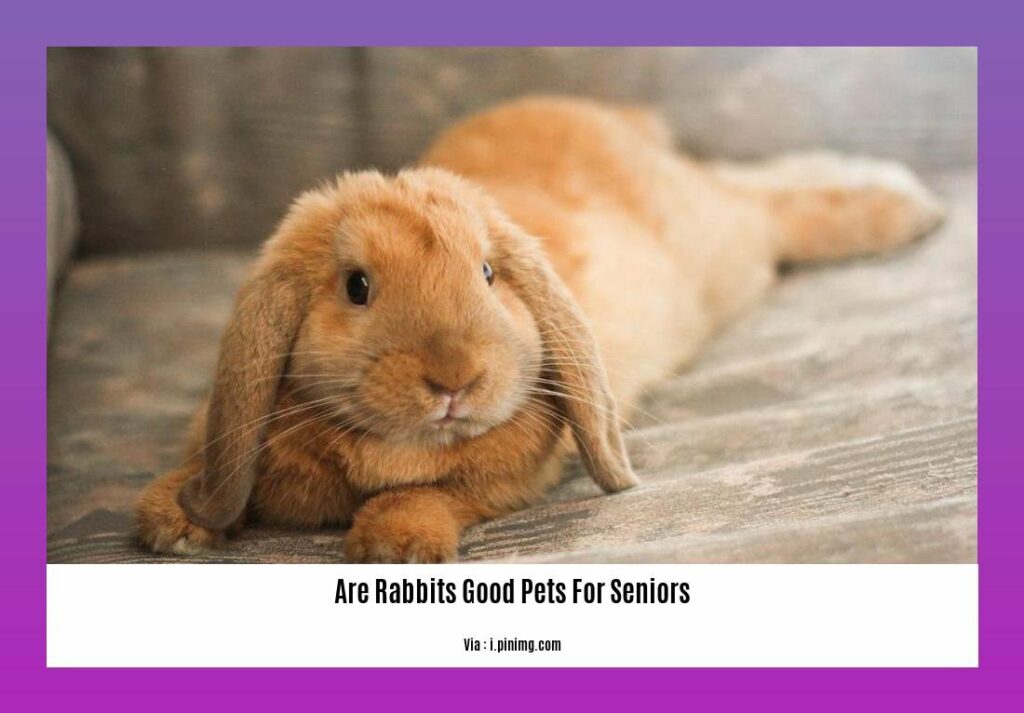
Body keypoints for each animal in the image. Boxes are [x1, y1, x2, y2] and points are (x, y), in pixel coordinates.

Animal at [136, 96, 944, 562]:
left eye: (489, 272)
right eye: (357, 286)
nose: (456, 379)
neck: (388, 447)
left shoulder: (512, 479)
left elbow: (442, 494)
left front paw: (395, 545)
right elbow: (210, 468)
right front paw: (170, 517)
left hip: (727, 238)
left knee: (775, 206)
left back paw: (913, 208)